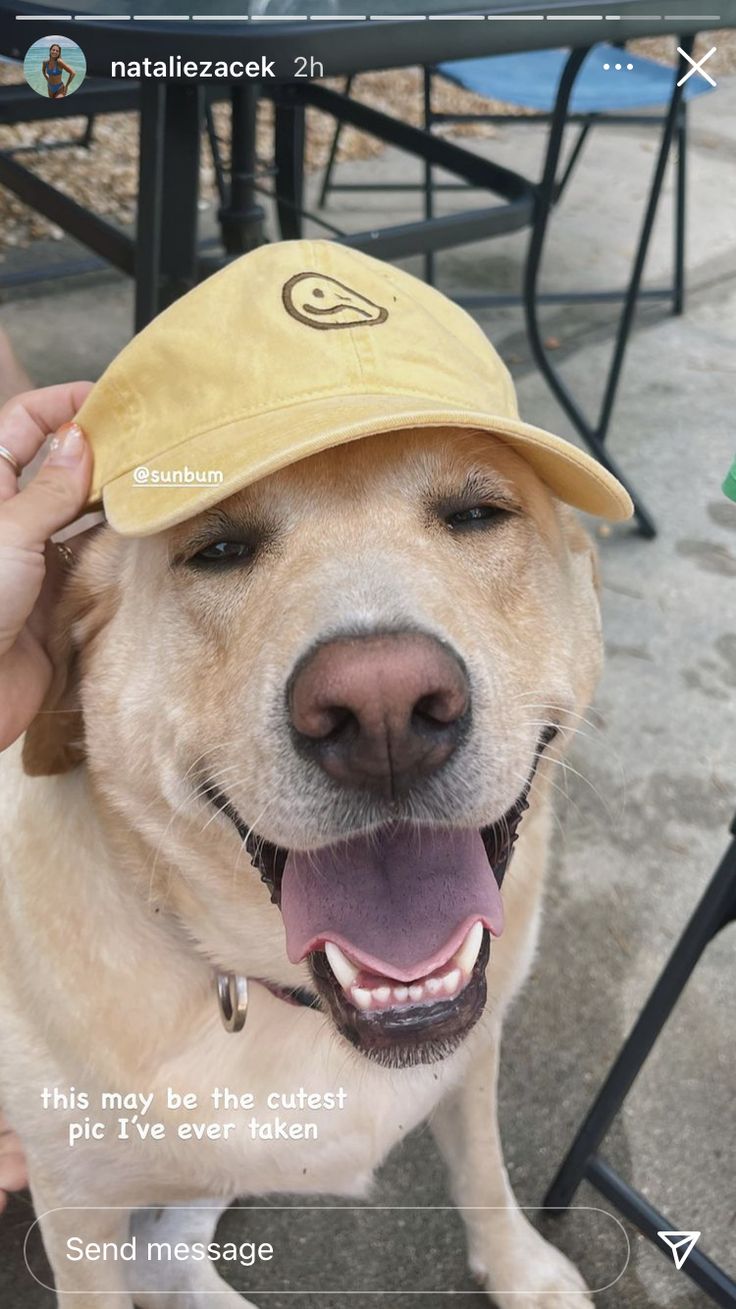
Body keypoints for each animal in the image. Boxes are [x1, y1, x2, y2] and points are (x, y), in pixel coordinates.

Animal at [0, 413, 602, 1303]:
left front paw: (521, 1269)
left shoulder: (472, 1050)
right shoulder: (77, 1210)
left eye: (478, 514)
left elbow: (484, 1169)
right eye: (216, 550)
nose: (382, 708)